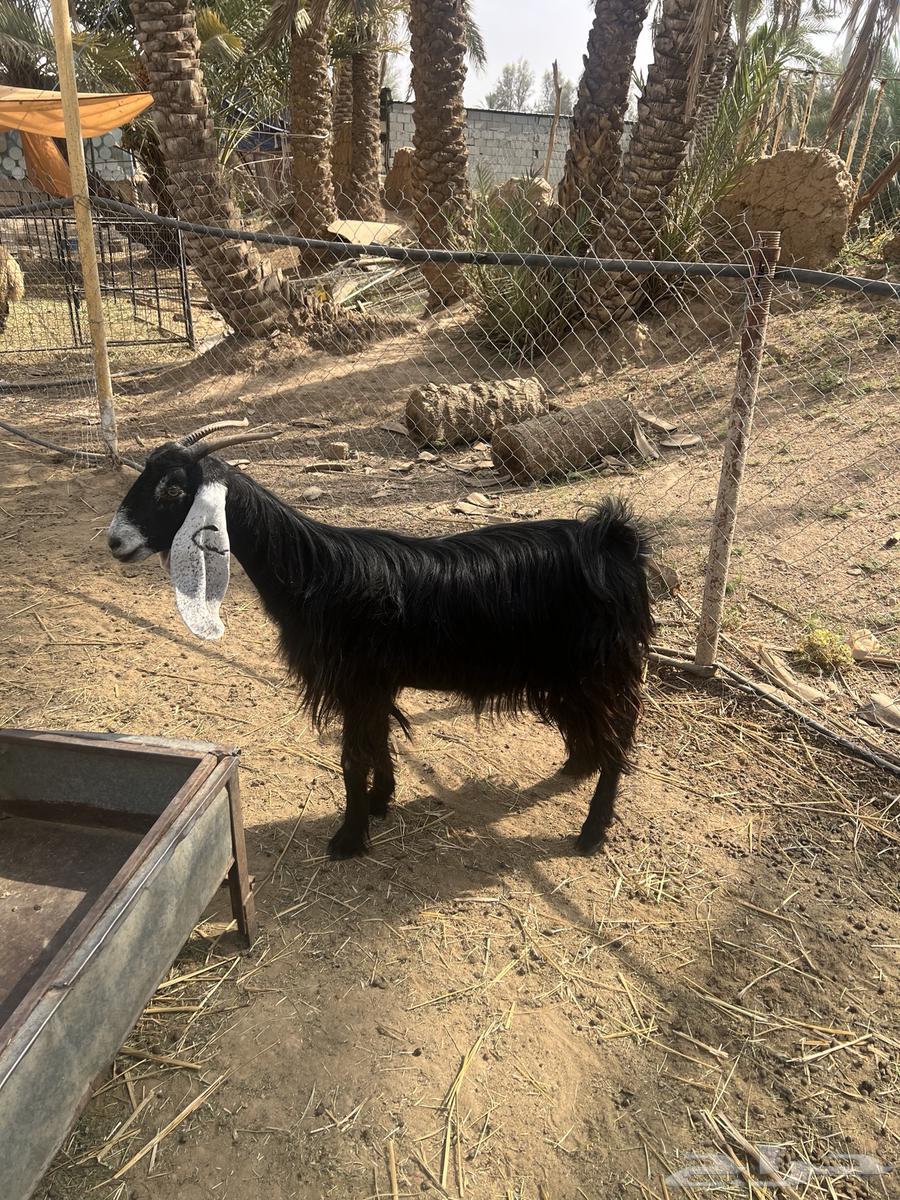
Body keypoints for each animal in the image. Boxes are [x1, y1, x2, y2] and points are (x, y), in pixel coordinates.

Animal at [107, 420, 654, 859]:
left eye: (172, 489)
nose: (116, 541)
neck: (314, 574)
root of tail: (616, 540)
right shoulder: (375, 683)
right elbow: (379, 742)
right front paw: (379, 801)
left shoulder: (359, 680)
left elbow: (354, 757)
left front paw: (349, 839)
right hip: (569, 671)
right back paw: (576, 766)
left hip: (602, 666)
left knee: (619, 742)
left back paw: (591, 833)